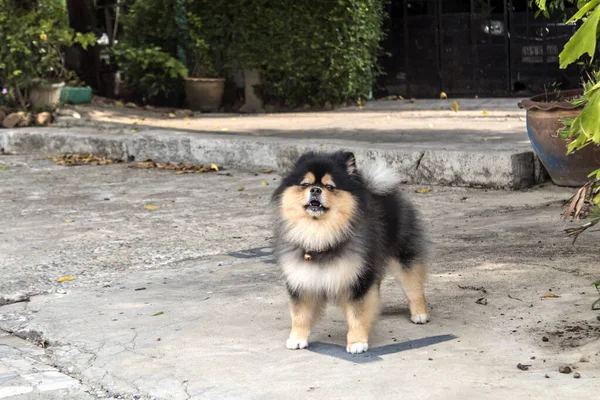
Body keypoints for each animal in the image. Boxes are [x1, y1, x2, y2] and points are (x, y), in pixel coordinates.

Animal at [272, 152, 432, 354]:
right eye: (305, 184)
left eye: (330, 186)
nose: (315, 190)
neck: (321, 235)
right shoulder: (302, 280)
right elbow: (300, 315)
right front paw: (297, 339)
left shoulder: (358, 281)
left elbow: (357, 315)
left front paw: (357, 342)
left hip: (402, 256)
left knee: (414, 286)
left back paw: (420, 313)